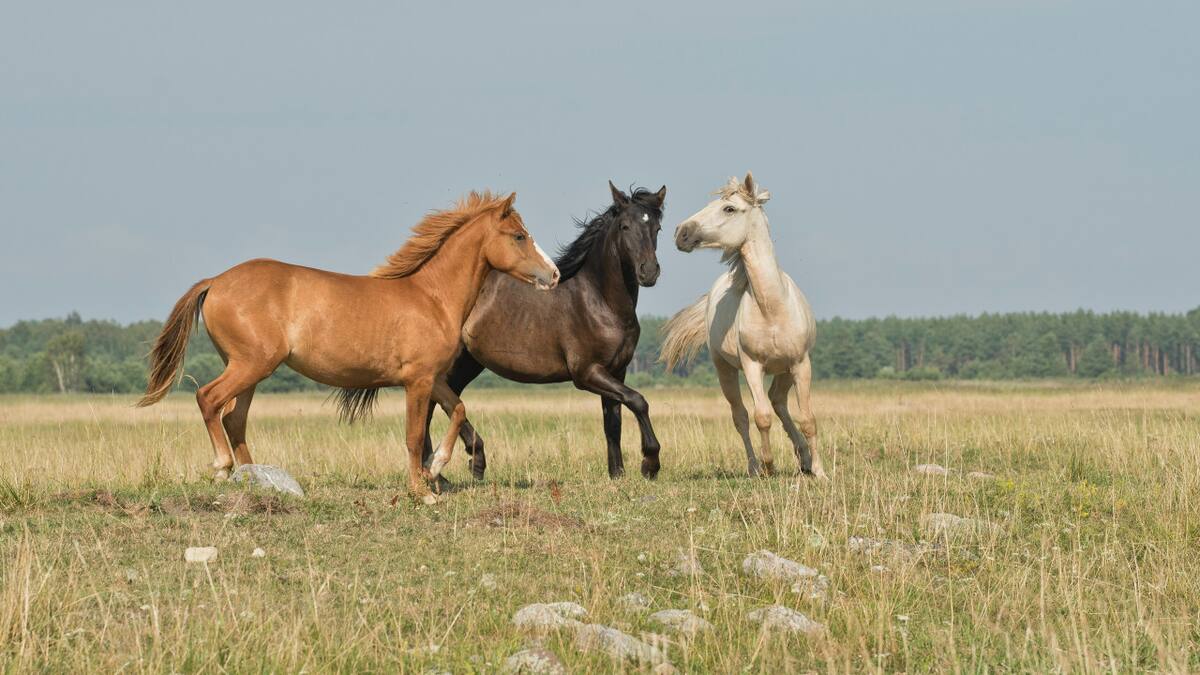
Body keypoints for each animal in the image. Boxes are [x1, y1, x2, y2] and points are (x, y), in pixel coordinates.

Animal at [137, 191, 560, 501]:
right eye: (519, 236)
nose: (553, 275)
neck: (432, 298)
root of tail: (216, 281)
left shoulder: (433, 378)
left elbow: (458, 410)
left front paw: (436, 467)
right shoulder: (417, 381)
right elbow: (413, 435)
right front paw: (422, 490)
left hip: (250, 370)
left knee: (233, 418)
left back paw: (256, 478)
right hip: (250, 365)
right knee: (209, 399)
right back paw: (223, 468)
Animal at [421, 181, 666, 481]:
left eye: (657, 228)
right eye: (625, 226)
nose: (649, 272)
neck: (600, 302)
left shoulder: (616, 371)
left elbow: (613, 422)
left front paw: (617, 474)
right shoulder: (587, 373)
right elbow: (638, 401)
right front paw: (650, 463)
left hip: (468, 362)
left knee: (441, 402)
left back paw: (448, 468)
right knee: (434, 402)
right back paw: (454, 465)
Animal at [661, 173, 827, 479]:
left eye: (729, 208)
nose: (681, 232)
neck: (772, 308)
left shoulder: (801, 364)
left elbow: (808, 418)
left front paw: (820, 472)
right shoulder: (752, 366)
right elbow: (761, 417)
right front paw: (769, 466)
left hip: (785, 370)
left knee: (778, 401)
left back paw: (804, 459)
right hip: (724, 369)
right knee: (741, 416)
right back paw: (754, 467)